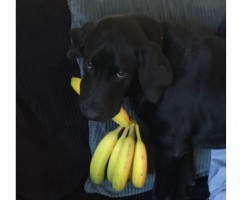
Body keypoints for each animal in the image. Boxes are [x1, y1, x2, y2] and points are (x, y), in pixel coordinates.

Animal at [67, 14, 226, 200]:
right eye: (90, 64)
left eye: (121, 74)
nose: (91, 113)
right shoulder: (179, 142)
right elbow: (185, 164)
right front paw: (186, 185)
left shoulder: (168, 148)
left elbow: (160, 190)